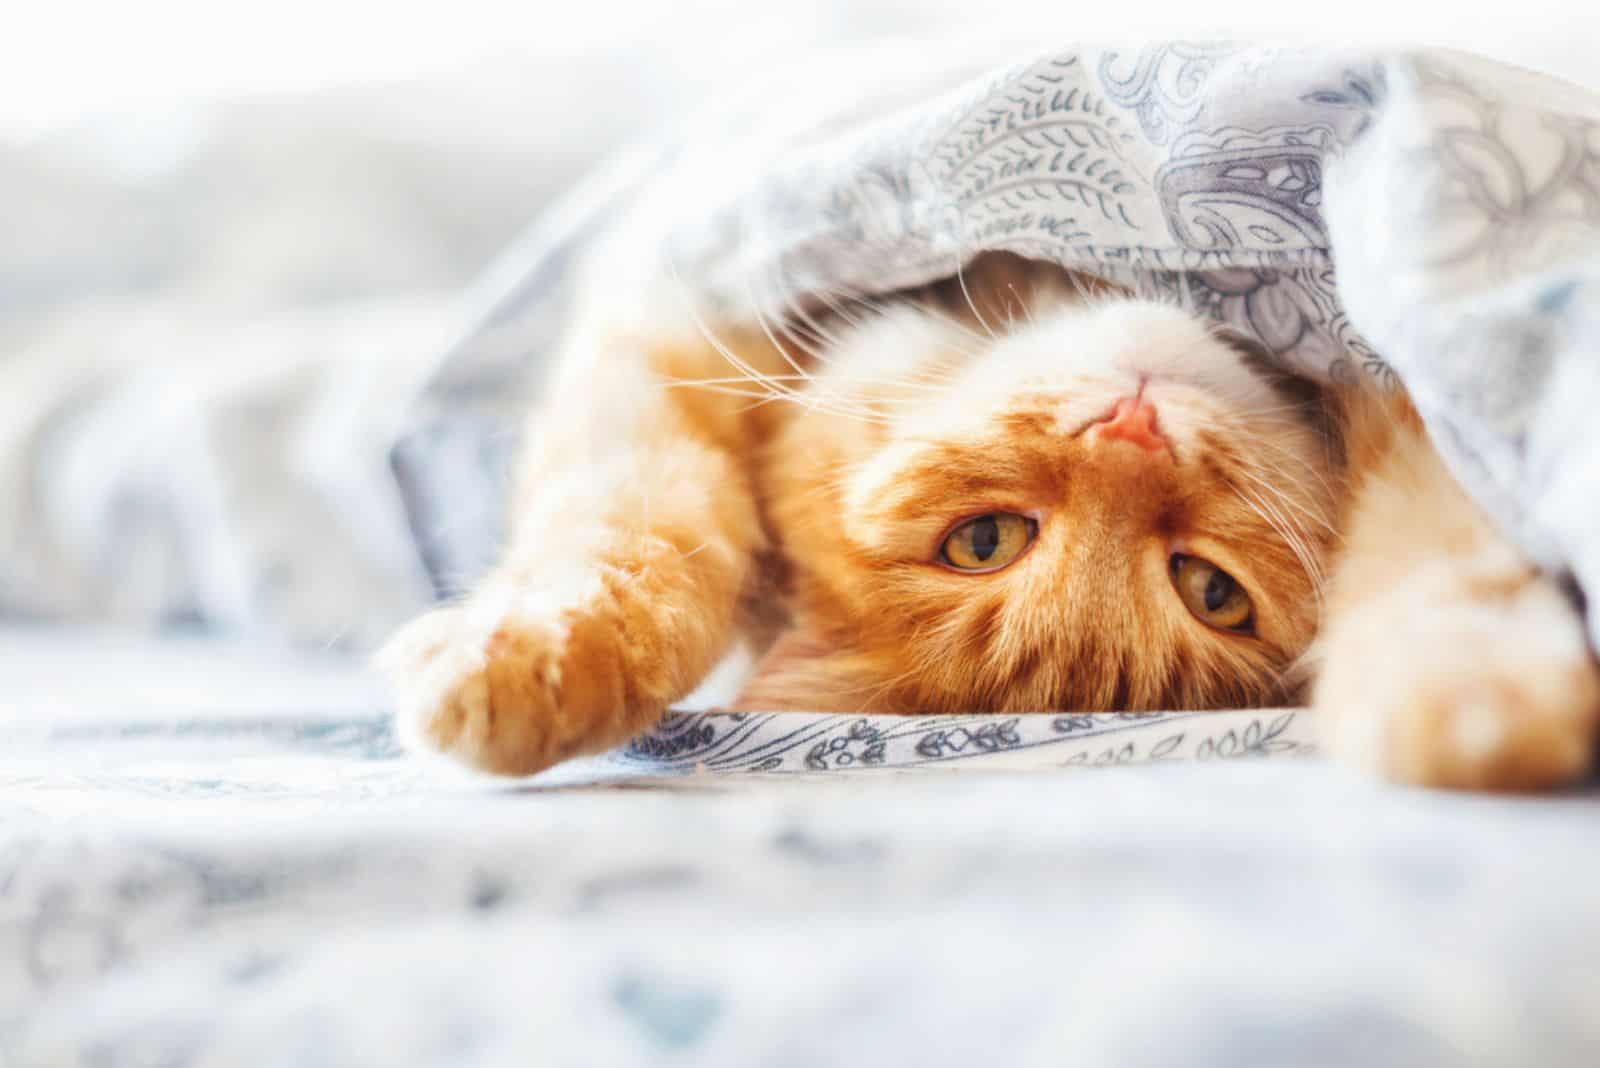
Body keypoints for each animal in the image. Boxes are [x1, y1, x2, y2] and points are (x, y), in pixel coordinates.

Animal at [377, 254, 1600, 789]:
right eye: (987, 541)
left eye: (1209, 589)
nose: (1133, 426)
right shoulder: (678, 330)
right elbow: (627, 520)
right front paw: (534, 656)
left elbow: (1439, 549)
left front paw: (1470, 692)